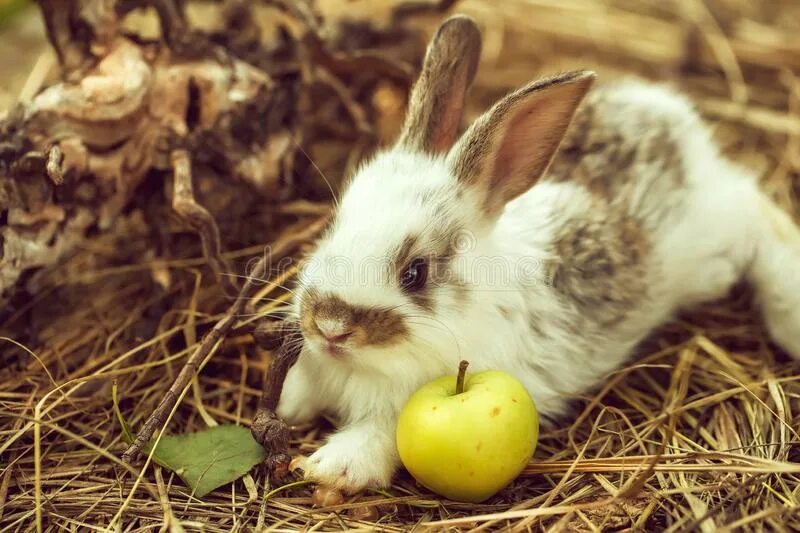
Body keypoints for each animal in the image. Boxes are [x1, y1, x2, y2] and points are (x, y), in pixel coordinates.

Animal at [276, 14, 800, 492]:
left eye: (415, 272)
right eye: (333, 226)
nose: (329, 326)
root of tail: (674, 118)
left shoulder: (398, 408)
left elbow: (375, 435)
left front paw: (330, 469)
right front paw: (287, 407)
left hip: (718, 242)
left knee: (760, 212)